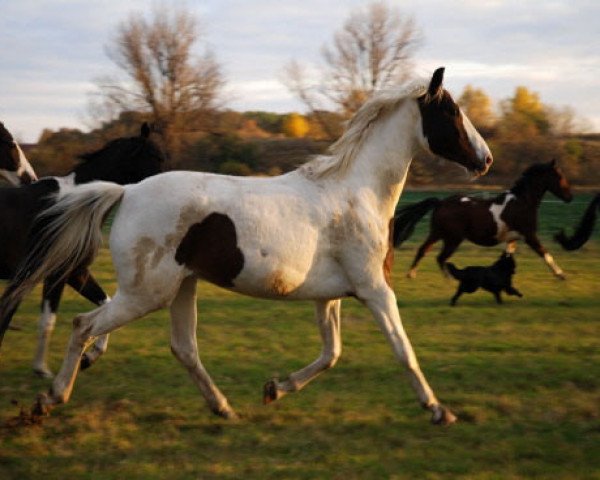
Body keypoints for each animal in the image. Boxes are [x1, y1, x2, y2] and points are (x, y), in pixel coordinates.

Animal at [0, 124, 164, 378]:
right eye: (154, 157)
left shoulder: (76, 273)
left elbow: (105, 306)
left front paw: (89, 357)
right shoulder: (54, 275)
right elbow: (46, 321)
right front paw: (42, 370)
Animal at [394, 160, 572, 280]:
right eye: (559, 176)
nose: (569, 197)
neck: (522, 202)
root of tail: (441, 202)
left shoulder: (512, 239)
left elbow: (507, 257)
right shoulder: (529, 235)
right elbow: (546, 254)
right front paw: (561, 274)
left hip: (437, 233)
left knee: (424, 250)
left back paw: (411, 274)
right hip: (452, 239)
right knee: (440, 257)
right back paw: (449, 279)